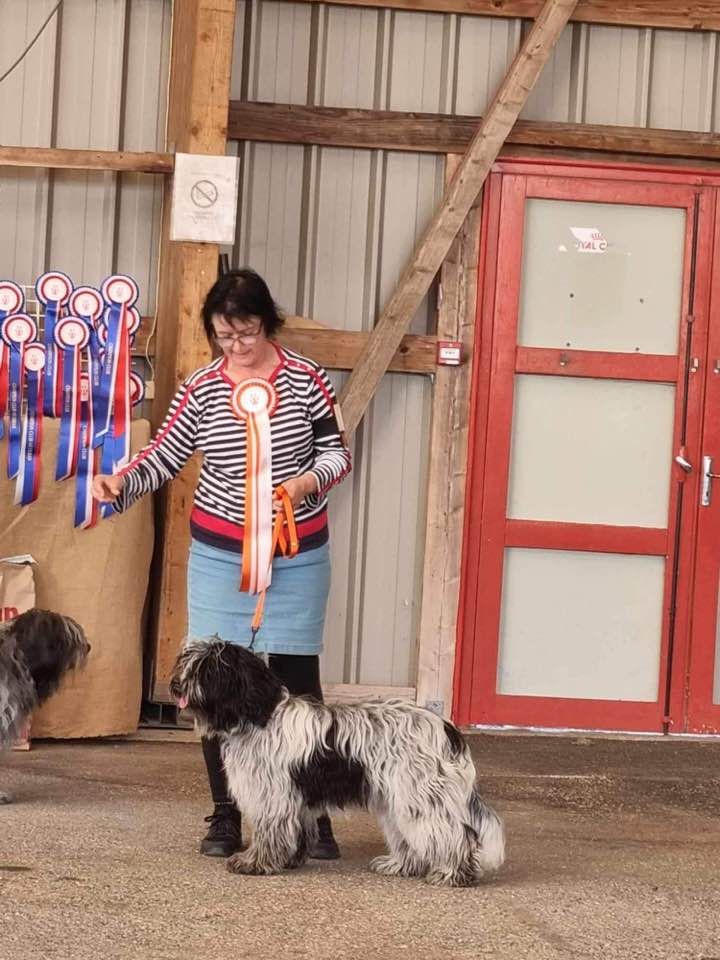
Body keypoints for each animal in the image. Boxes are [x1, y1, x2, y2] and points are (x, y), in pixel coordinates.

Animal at [171, 636, 504, 884]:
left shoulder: (273, 796)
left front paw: (254, 862)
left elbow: (269, 834)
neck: (259, 716)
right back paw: (400, 865)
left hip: (420, 796)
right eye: (187, 663)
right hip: (398, 798)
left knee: (455, 834)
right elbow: (297, 831)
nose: (175, 685)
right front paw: (291, 858)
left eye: (208, 671)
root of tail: (447, 729)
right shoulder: (294, 800)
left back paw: (451, 873)